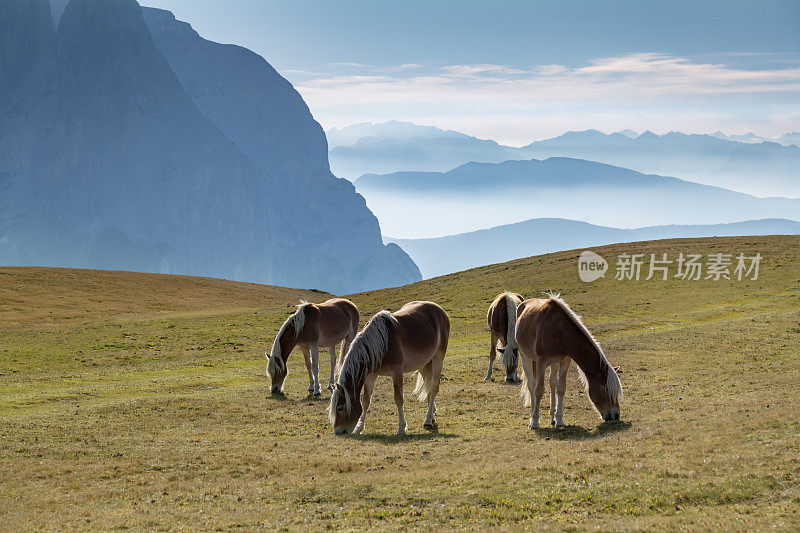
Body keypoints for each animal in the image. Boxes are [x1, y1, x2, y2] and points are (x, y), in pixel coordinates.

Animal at [326, 302, 450, 434]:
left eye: (340, 407)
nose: (338, 431)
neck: (381, 344)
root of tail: (440, 310)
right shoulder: (371, 375)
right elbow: (365, 401)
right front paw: (359, 428)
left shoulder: (397, 373)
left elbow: (398, 398)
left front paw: (401, 428)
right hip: (422, 363)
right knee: (428, 385)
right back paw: (431, 414)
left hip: (438, 358)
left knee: (433, 387)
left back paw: (427, 420)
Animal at [516, 296, 620, 428]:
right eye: (606, 390)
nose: (616, 415)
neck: (559, 331)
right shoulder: (541, 363)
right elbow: (538, 390)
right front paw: (534, 421)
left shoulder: (565, 360)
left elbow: (561, 388)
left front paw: (559, 420)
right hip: (525, 356)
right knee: (531, 384)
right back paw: (532, 417)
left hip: (554, 362)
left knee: (552, 382)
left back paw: (552, 418)